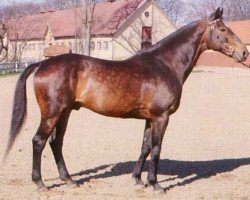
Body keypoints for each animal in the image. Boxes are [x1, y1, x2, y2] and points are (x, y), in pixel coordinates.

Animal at [3, 7, 248, 192]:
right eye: (223, 29)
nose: (244, 53)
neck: (164, 64)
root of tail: (42, 63)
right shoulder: (162, 117)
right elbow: (156, 148)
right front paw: (155, 184)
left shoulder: (150, 118)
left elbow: (145, 147)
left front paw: (138, 179)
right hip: (52, 113)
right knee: (38, 141)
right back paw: (40, 183)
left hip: (65, 112)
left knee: (56, 142)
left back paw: (69, 180)